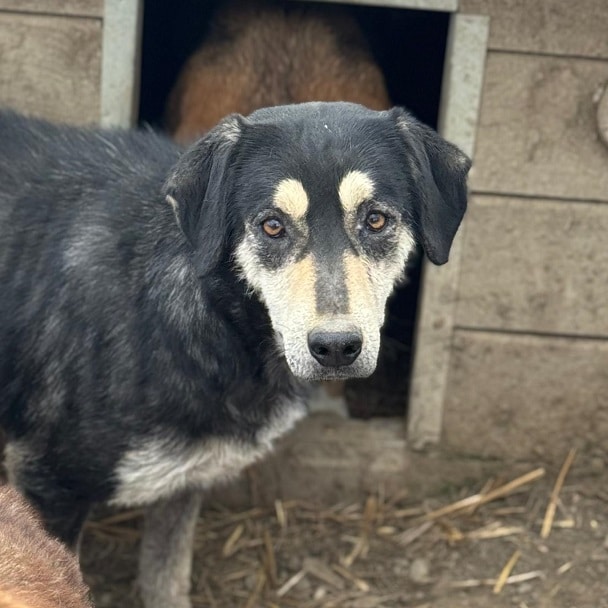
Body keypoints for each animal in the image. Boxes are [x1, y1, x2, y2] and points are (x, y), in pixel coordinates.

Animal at [0, 102, 469, 608]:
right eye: (272, 225)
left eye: (377, 220)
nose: (336, 348)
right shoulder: (49, 488)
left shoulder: (183, 479)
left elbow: (166, 581)